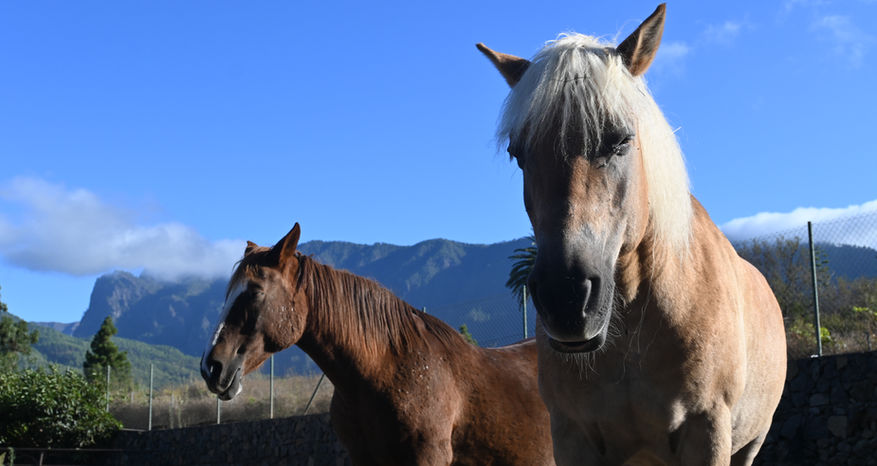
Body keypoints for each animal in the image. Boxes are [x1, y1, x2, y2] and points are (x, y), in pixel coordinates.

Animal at [478, 4, 786, 465]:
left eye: (621, 140)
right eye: (519, 153)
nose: (566, 297)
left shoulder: (708, 430)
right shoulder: (571, 436)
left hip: (749, 444)